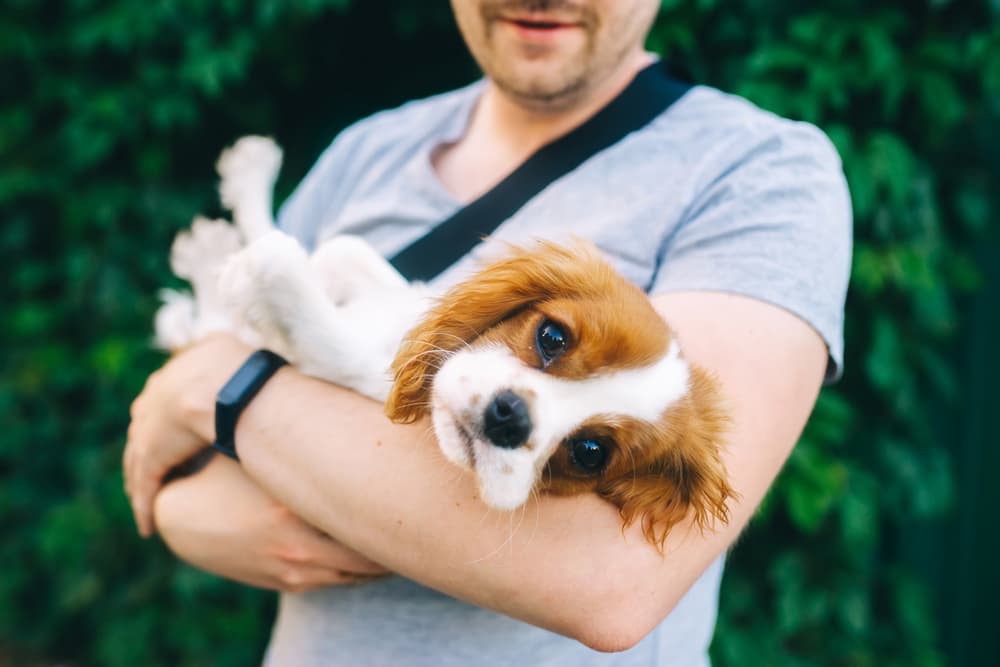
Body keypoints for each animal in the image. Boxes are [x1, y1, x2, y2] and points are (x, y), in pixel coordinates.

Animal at [156, 136, 736, 548]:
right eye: (552, 336)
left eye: (590, 453)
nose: (510, 417)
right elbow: (341, 251)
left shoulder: (336, 355)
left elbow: (278, 263)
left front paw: (243, 276)